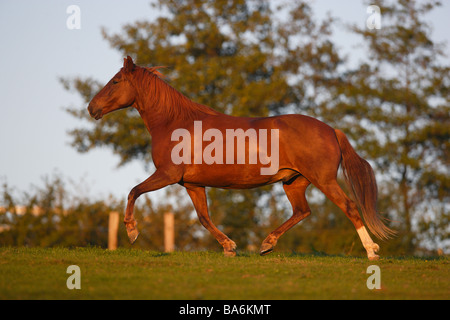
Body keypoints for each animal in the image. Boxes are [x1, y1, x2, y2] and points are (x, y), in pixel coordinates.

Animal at [88, 55, 394, 260]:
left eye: (116, 81)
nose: (92, 108)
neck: (175, 123)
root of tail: (331, 130)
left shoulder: (167, 175)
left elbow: (133, 191)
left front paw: (132, 231)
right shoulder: (192, 184)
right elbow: (203, 218)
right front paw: (229, 247)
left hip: (323, 180)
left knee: (349, 207)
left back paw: (372, 251)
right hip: (294, 182)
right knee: (302, 211)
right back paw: (267, 244)